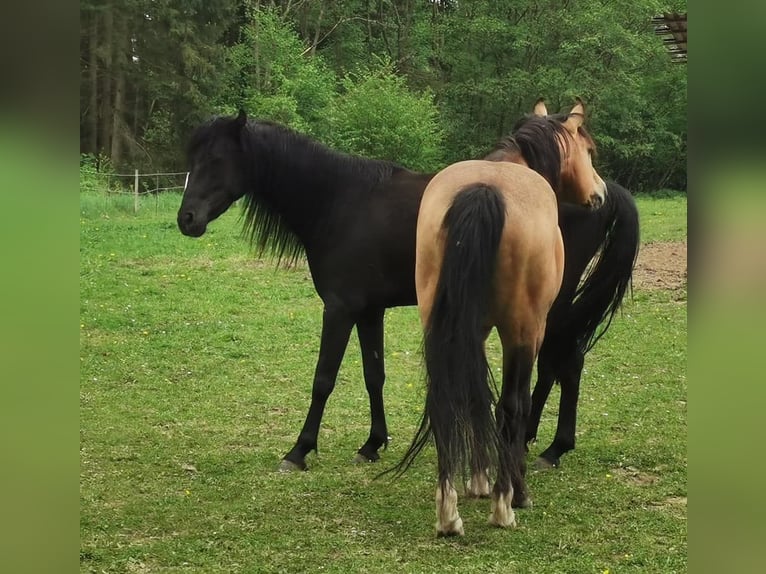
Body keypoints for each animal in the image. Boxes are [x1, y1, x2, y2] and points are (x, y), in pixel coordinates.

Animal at [396, 101, 608, 536]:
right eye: (588, 150)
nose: (601, 192)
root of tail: (484, 190)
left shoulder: (473, 331)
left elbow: (476, 397)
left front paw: (478, 482)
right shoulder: (530, 334)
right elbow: (516, 405)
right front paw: (513, 490)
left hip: (442, 326)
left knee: (445, 400)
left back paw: (449, 513)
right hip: (522, 331)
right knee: (513, 405)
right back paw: (505, 505)